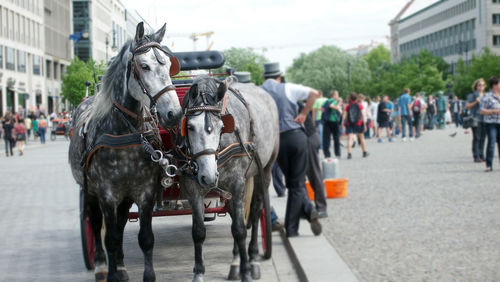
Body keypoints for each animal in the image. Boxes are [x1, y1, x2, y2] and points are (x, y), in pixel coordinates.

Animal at [68, 22, 182, 282]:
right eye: (144, 66)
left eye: (168, 65)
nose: (174, 113)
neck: (126, 132)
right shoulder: (107, 193)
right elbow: (109, 238)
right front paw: (110, 272)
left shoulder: (145, 192)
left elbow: (145, 238)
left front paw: (145, 275)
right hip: (89, 191)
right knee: (95, 222)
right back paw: (102, 266)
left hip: (125, 196)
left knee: (119, 226)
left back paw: (120, 266)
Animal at [177, 76, 280, 282]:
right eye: (189, 127)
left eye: (221, 127)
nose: (208, 176)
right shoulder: (192, 189)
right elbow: (199, 232)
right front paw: (198, 273)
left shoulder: (237, 183)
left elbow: (240, 230)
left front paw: (246, 272)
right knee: (236, 214)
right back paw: (236, 262)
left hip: (264, 170)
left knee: (255, 211)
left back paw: (252, 258)